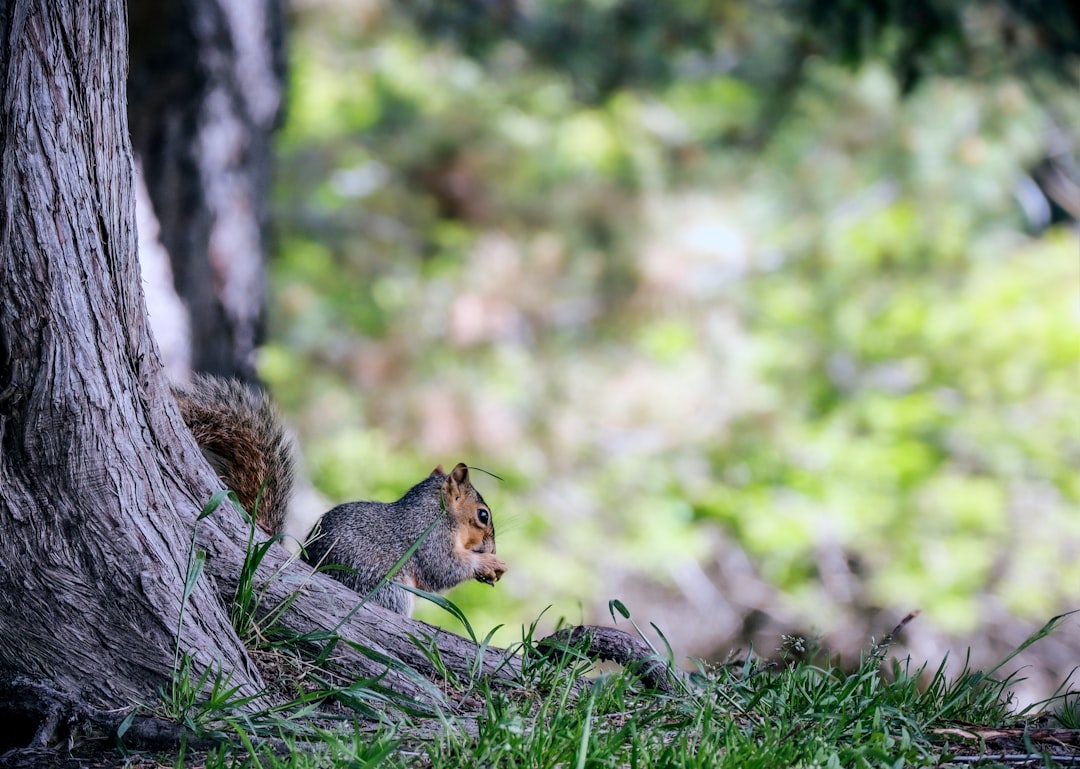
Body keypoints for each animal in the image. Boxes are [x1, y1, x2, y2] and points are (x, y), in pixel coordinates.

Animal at [171, 375, 505, 617]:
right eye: (483, 515)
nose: (491, 546)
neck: (438, 513)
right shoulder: (428, 538)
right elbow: (443, 568)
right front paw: (487, 563)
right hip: (389, 590)